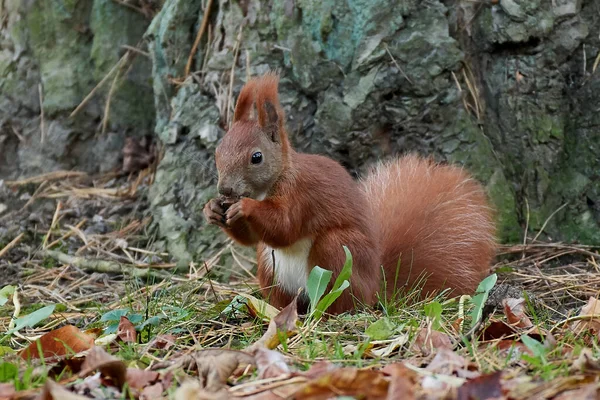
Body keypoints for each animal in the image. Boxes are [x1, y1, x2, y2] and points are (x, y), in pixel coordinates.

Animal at [203, 73, 496, 314]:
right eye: (218, 151)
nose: (225, 189)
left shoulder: (302, 195)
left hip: (338, 253)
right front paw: (212, 209)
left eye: (256, 157)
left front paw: (245, 207)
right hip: (269, 264)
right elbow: (253, 238)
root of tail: (374, 288)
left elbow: (285, 226)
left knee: (340, 299)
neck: (270, 186)